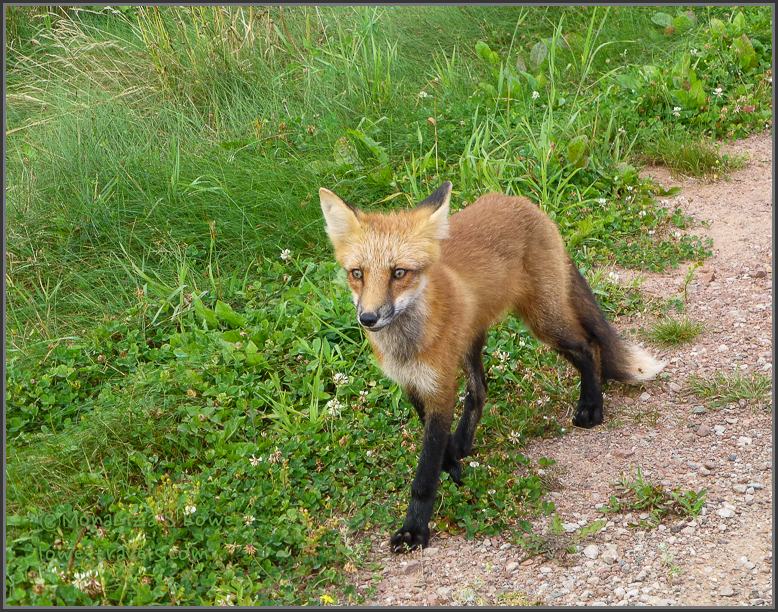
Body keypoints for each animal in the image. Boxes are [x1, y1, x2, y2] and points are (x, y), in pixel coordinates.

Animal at [318, 181, 665, 552]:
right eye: (357, 274)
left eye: (399, 273)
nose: (368, 318)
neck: (406, 347)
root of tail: (520, 202)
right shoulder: (413, 385)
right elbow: (438, 448)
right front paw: (454, 468)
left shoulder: (440, 387)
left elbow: (425, 472)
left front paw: (415, 529)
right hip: (475, 340)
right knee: (480, 390)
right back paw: (463, 442)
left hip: (545, 323)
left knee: (589, 347)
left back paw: (591, 406)